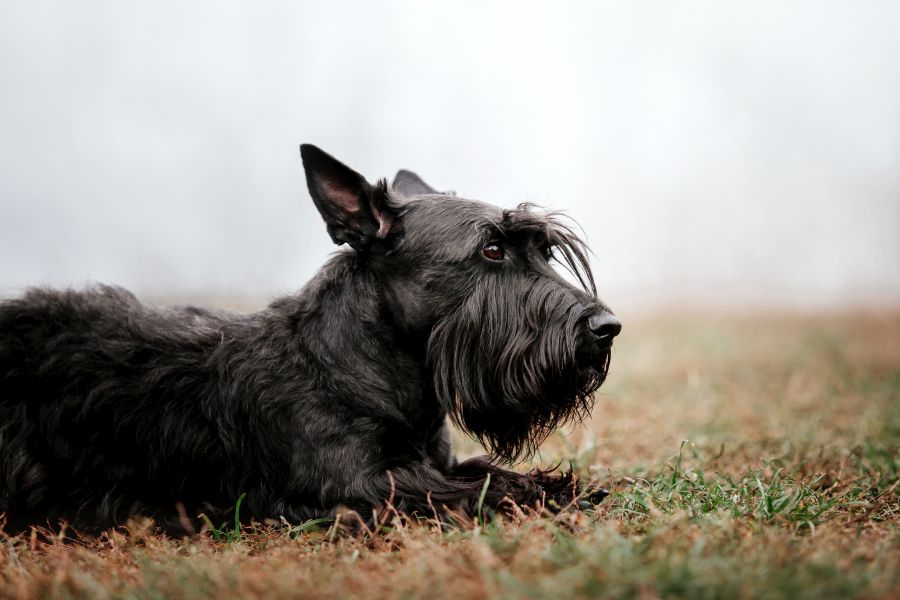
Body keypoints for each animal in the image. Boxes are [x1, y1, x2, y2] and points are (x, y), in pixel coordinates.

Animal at [0, 145, 620, 536]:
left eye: (543, 250)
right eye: (491, 250)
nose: (606, 327)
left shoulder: (434, 461)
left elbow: (487, 471)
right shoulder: (360, 485)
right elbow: (475, 491)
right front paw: (549, 494)